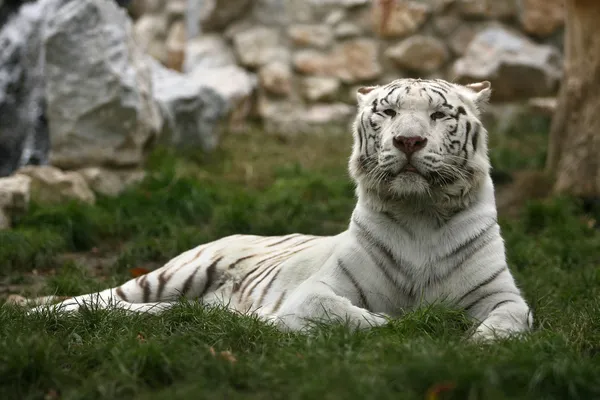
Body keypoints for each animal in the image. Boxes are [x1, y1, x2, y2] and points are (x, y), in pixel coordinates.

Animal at [23, 78, 532, 340]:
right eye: (387, 114)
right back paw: (34, 311)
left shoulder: (503, 295)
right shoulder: (317, 290)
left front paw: (479, 343)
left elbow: (510, 322)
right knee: (96, 299)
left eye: (439, 116)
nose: (408, 141)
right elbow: (344, 315)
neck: (420, 214)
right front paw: (399, 325)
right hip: (173, 273)